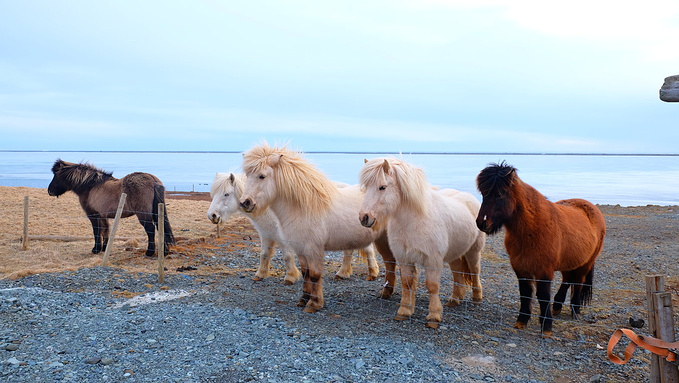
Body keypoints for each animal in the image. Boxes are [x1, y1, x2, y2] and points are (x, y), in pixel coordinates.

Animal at [46, 159, 175, 258]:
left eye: (56, 175)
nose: (50, 191)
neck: (90, 186)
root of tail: (153, 180)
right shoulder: (103, 215)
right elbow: (105, 230)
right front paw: (104, 248)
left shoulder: (93, 215)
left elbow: (97, 231)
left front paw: (96, 249)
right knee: (160, 227)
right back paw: (164, 251)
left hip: (143, 214)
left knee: (150, 229)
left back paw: (150, 252)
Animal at [207, 172, 380, 284]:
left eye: (226, 194)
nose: (212, 216)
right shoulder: (266, 234)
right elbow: (264, 255)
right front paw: (260, 274)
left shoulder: (285, 237)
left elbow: (287, 256)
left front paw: (290, 277)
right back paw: (353, 273)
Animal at [239, 142, 398, 314]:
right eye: (247, 175)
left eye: (262, 176)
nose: (245, 202)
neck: (304, 207)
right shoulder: (300, 249)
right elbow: (305, 273)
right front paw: (303, 299)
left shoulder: (313, 249)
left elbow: (314, 275)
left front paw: (314, 304)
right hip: (381, 240)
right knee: (390, 263)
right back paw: (386, 293)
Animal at [358, 158, 486, 328]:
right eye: (366, 188)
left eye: (382, 187)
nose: (364, 217)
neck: (414, 221)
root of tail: (470, 199)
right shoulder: (404, 258)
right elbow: (407, 283)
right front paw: (404, 311)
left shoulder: (433, 261)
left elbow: (432, 286)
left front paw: (433, 316)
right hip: (455, 254)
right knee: (457, 272)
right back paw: (454, 299)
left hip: (473, 251)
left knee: (474, 271)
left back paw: (477, 298)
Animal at [476, 162, 608, 340]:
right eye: (484, 194)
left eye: (500, 194)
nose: (482, 223)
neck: (533, 228)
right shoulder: (521, 268)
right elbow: (525, 293)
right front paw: (522, 320)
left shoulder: (544, 270)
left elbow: (543, 296)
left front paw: (546, 327)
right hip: (569, 262)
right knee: (567, 280)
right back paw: (557, 306)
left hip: (586, 263)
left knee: (578, 282)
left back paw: (575, 310)